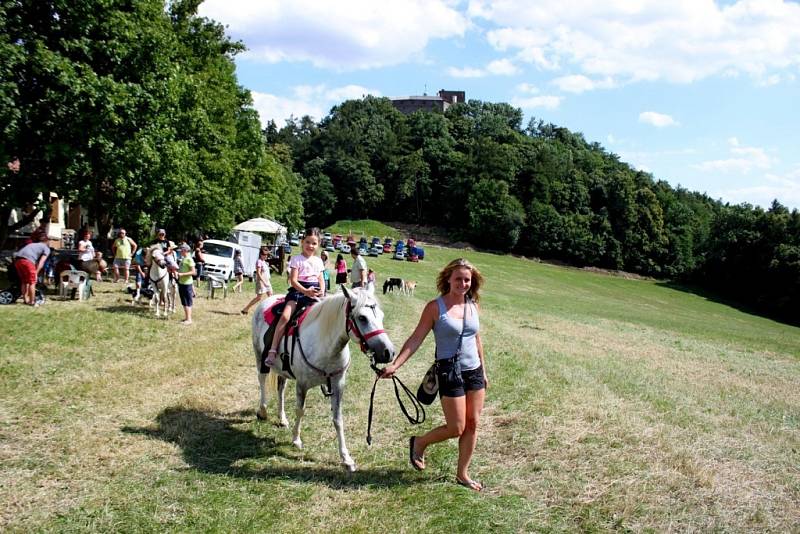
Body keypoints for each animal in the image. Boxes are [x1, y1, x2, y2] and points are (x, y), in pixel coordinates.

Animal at [252, 288, 396, 474]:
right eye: (362, 318)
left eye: (381, 316)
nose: (388, 352)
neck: (326, 345)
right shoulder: (302, 384)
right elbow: (300, 411)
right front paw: (296, 439)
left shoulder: (338, 385)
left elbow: (338, 419)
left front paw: (346, 458)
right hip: (259, 356)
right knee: (262, 379)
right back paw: (262, 411)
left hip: (282, 370)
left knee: (281, 388)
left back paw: (282, 418)